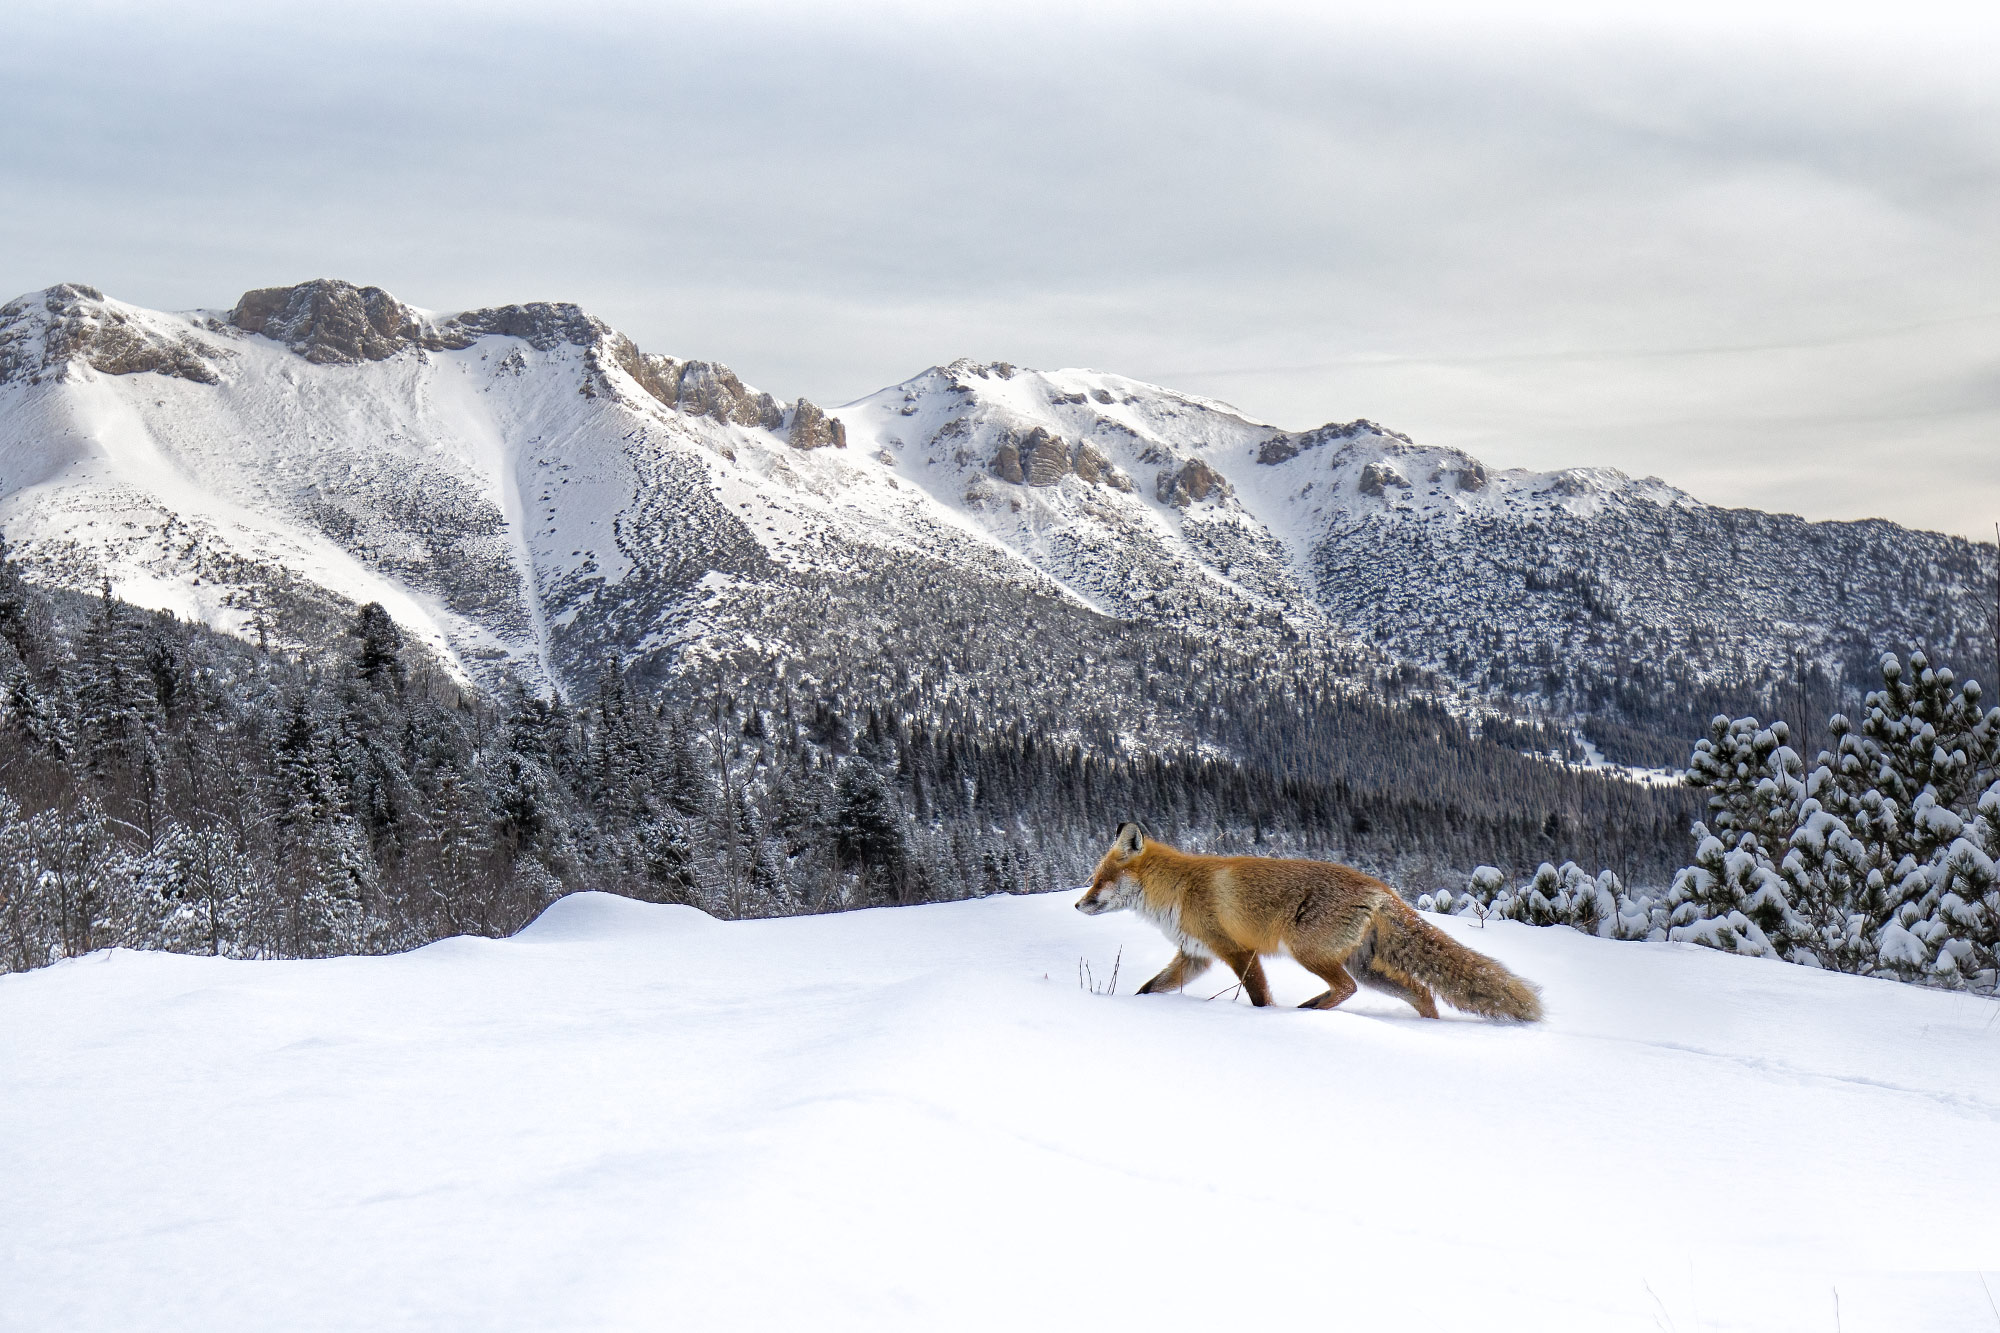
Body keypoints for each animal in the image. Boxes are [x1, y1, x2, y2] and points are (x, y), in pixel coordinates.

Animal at [1072, 820, 1536, 1016]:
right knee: (1422, 993)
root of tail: (1383, 889)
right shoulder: (1196, 957)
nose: (1078, 906)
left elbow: (1259, 997)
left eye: (1099, 880)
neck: (1178, 890)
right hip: (1365, 968)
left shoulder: (1238, 951)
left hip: (1309, 953)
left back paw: (1308, 1009)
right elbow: (1148, 990)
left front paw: (1267, 1018)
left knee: (1347, 989)